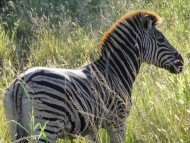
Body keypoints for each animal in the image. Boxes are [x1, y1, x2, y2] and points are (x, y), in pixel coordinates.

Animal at [3, 9, 183, 142]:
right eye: (160, 39)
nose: (181, 62)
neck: (114, 72)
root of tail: (21, 81)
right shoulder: (118, 122)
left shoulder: (92, 128)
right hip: (47, 127)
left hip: (15, 127)